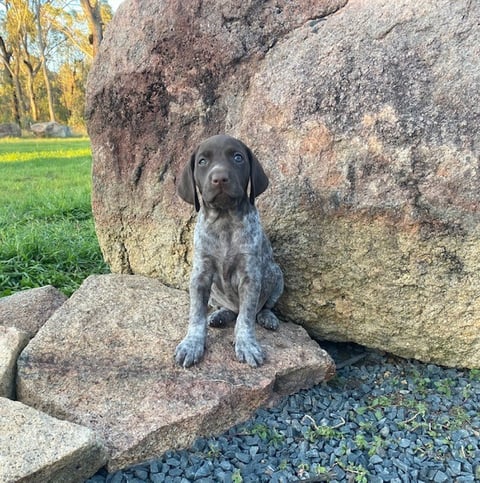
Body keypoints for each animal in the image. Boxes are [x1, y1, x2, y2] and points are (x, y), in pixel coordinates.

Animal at [175, 134, 282, 368]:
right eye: (202, 161)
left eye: (238, 157)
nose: (220, 178)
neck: (224, 220)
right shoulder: (200, 276)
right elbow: (196, 316)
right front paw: (192, 344)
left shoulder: (250, 277)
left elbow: (246, 318)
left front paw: (246, 345)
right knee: (228, 310)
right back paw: (220, 315)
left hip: (276, 274)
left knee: (261, 307)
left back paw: (267, 317)